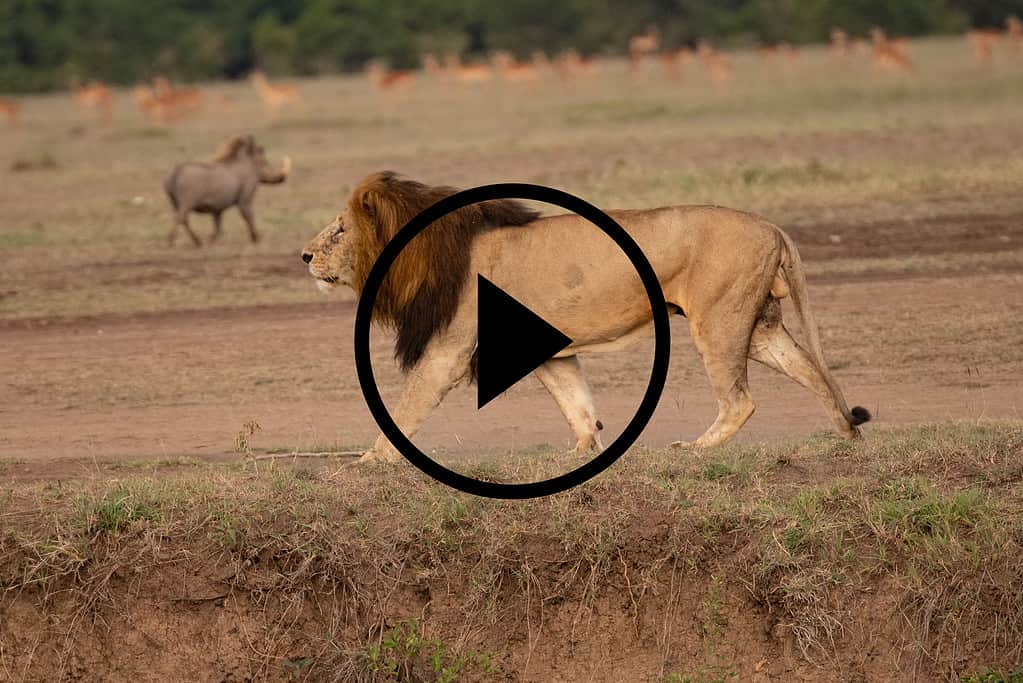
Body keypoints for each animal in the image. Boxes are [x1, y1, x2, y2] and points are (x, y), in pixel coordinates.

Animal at [304, 170, 871, 464]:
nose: (305, 256)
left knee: (740, 400)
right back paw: (847, 435)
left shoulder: (451, 346)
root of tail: (771, 225)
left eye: (339, 230)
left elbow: (406, 405)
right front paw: (583, 450)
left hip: (718, 319)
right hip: (757, 323)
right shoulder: (543, 348)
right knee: (811, 370)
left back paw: (694, 448)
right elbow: (574, 400)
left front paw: (368, 461)